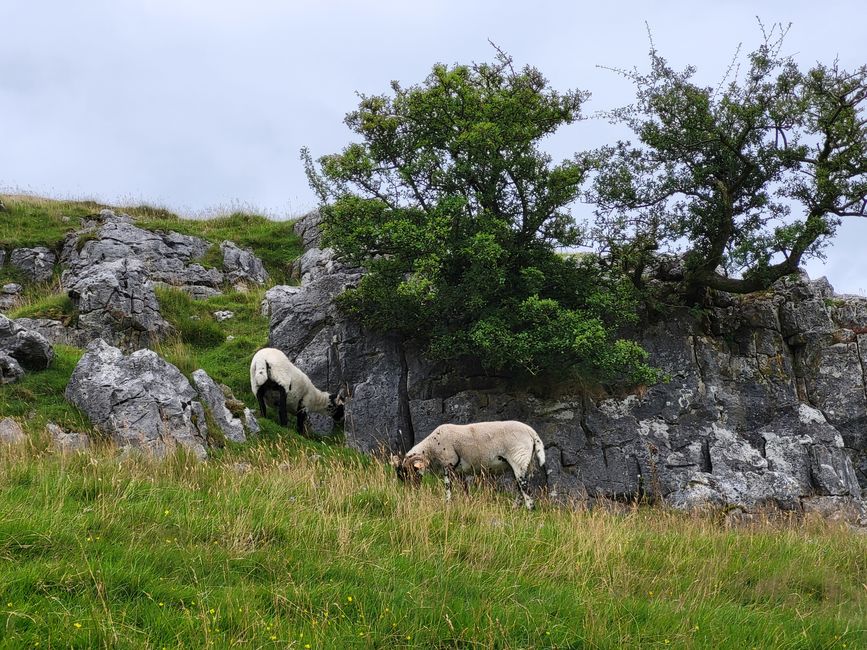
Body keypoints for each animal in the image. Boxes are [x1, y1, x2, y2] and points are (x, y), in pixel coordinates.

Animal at [396, 418, 548, 508]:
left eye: (410, 472)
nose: (410, 493)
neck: (431, 447)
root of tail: (532, 432)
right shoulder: (459, 472)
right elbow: (465, 489)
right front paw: (467, 502)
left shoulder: (448, 464)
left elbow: (448, 488)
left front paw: (447, 504)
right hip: (524, 464)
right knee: (520, 488)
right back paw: (515, 509)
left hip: (519, 459)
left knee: (525, 488)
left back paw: (529, 510)